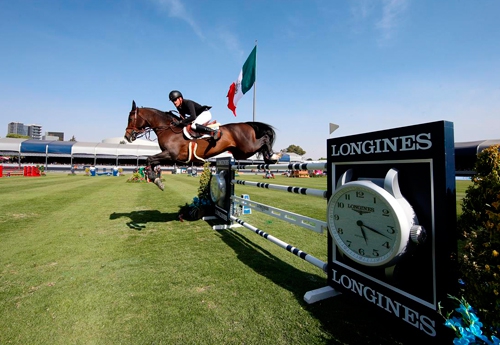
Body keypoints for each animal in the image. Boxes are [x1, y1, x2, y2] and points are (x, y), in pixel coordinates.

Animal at [124, 99, 282, 187]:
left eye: (130, 118)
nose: (127, 136)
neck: (167, 128)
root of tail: (246, 124)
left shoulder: (170, 155)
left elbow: (149, 159)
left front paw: (153, 178)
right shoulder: (166, 155)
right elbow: (151, 161)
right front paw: (155, 179)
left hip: (247, 148)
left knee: (265, 139)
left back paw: (273, 156)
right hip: (240, 153)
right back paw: (269, 158)